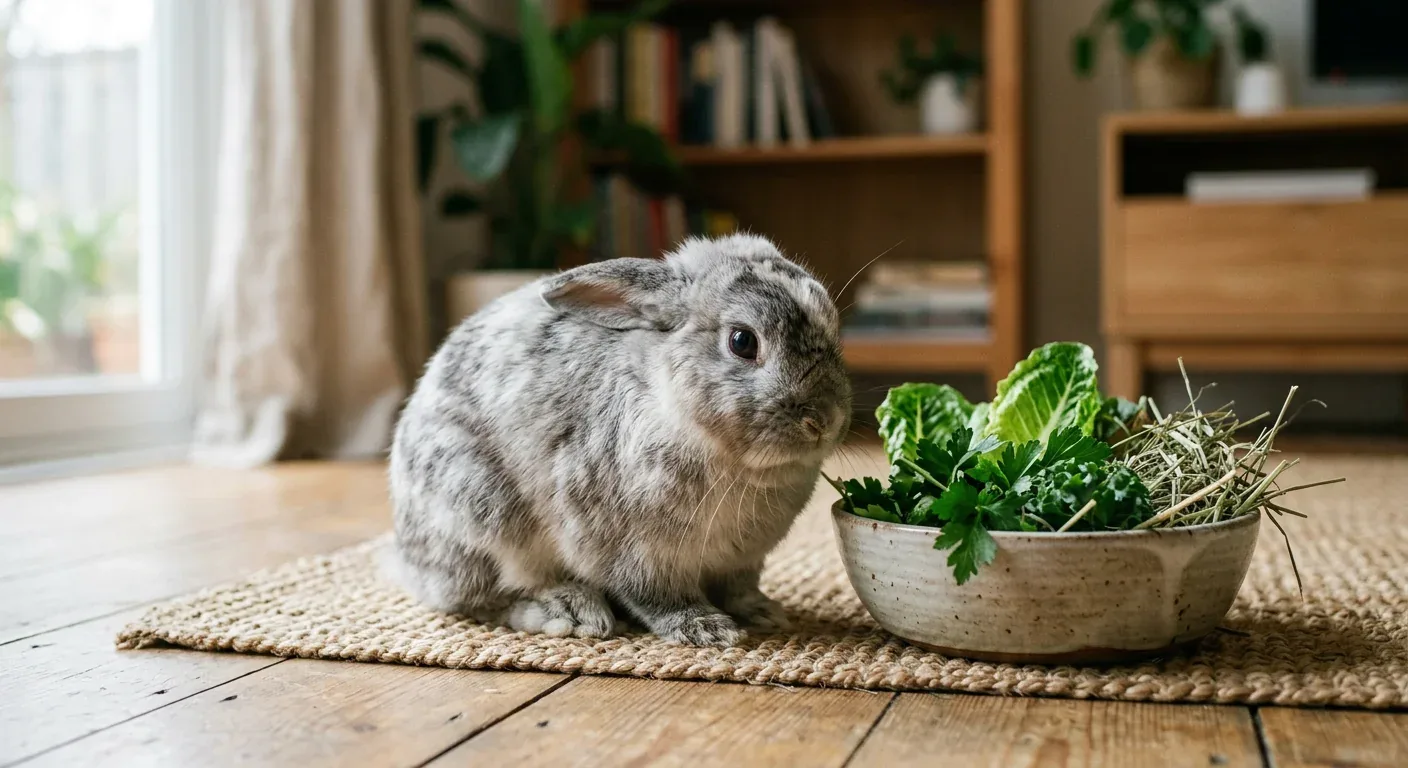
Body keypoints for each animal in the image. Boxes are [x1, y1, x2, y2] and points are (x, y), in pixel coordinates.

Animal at [388, 233, 851, 646]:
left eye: (835, 330)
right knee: (486, 598)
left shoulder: (743, 561)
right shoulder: (634, 552)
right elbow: (657, 597)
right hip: (482, 516)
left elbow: (740, 589)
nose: (823, 420)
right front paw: (706, 629)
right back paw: (571, 612)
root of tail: (406, 558)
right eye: (742, 341)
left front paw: (764, 613)